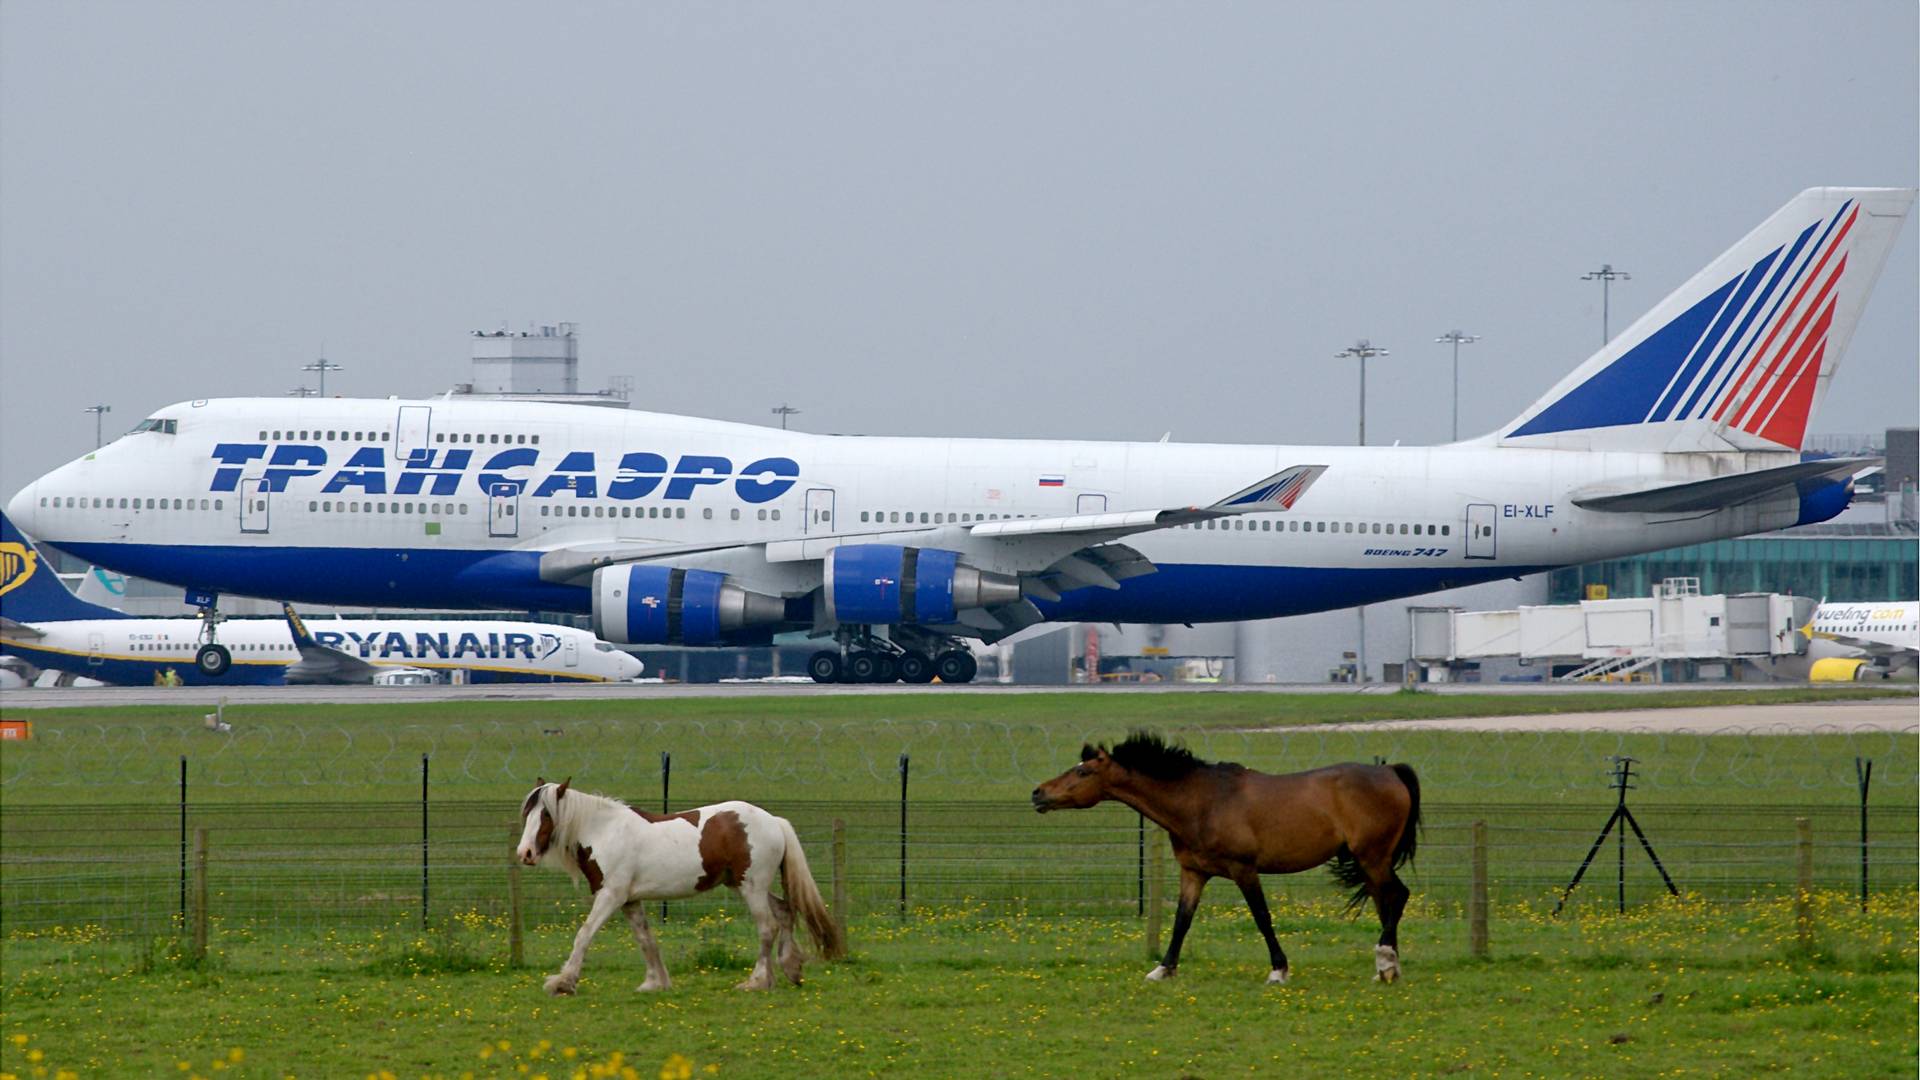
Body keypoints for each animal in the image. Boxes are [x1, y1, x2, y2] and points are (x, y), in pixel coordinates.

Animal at [514, 772, 844, 991]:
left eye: (546, 815)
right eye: (527, 813)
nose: (524, 853)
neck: (604, 831)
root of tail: (773, 820)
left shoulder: (611, 896)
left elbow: (583, 934)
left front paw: (563, 981)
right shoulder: (630, 900)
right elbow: (645, 940)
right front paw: (654, 982)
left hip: (752, 887)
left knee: (768, 928)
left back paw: (757, 981)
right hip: (744, 885)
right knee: (785, 913)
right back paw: (791, 969)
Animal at [1036, 726, 1428, 980]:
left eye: (1083, 772)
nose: (1037, 793)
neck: (1201, 802)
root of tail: (1389, 772)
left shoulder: (1244, 870)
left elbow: (1262, 917)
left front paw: (1278, 970)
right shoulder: (1193, 873)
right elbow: (1182, 920)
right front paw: (1163, 968)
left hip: (1373, 857)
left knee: (1398, 895)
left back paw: (1385, 960)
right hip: (1369, 861)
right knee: (1385, 901)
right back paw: (1388, 967)